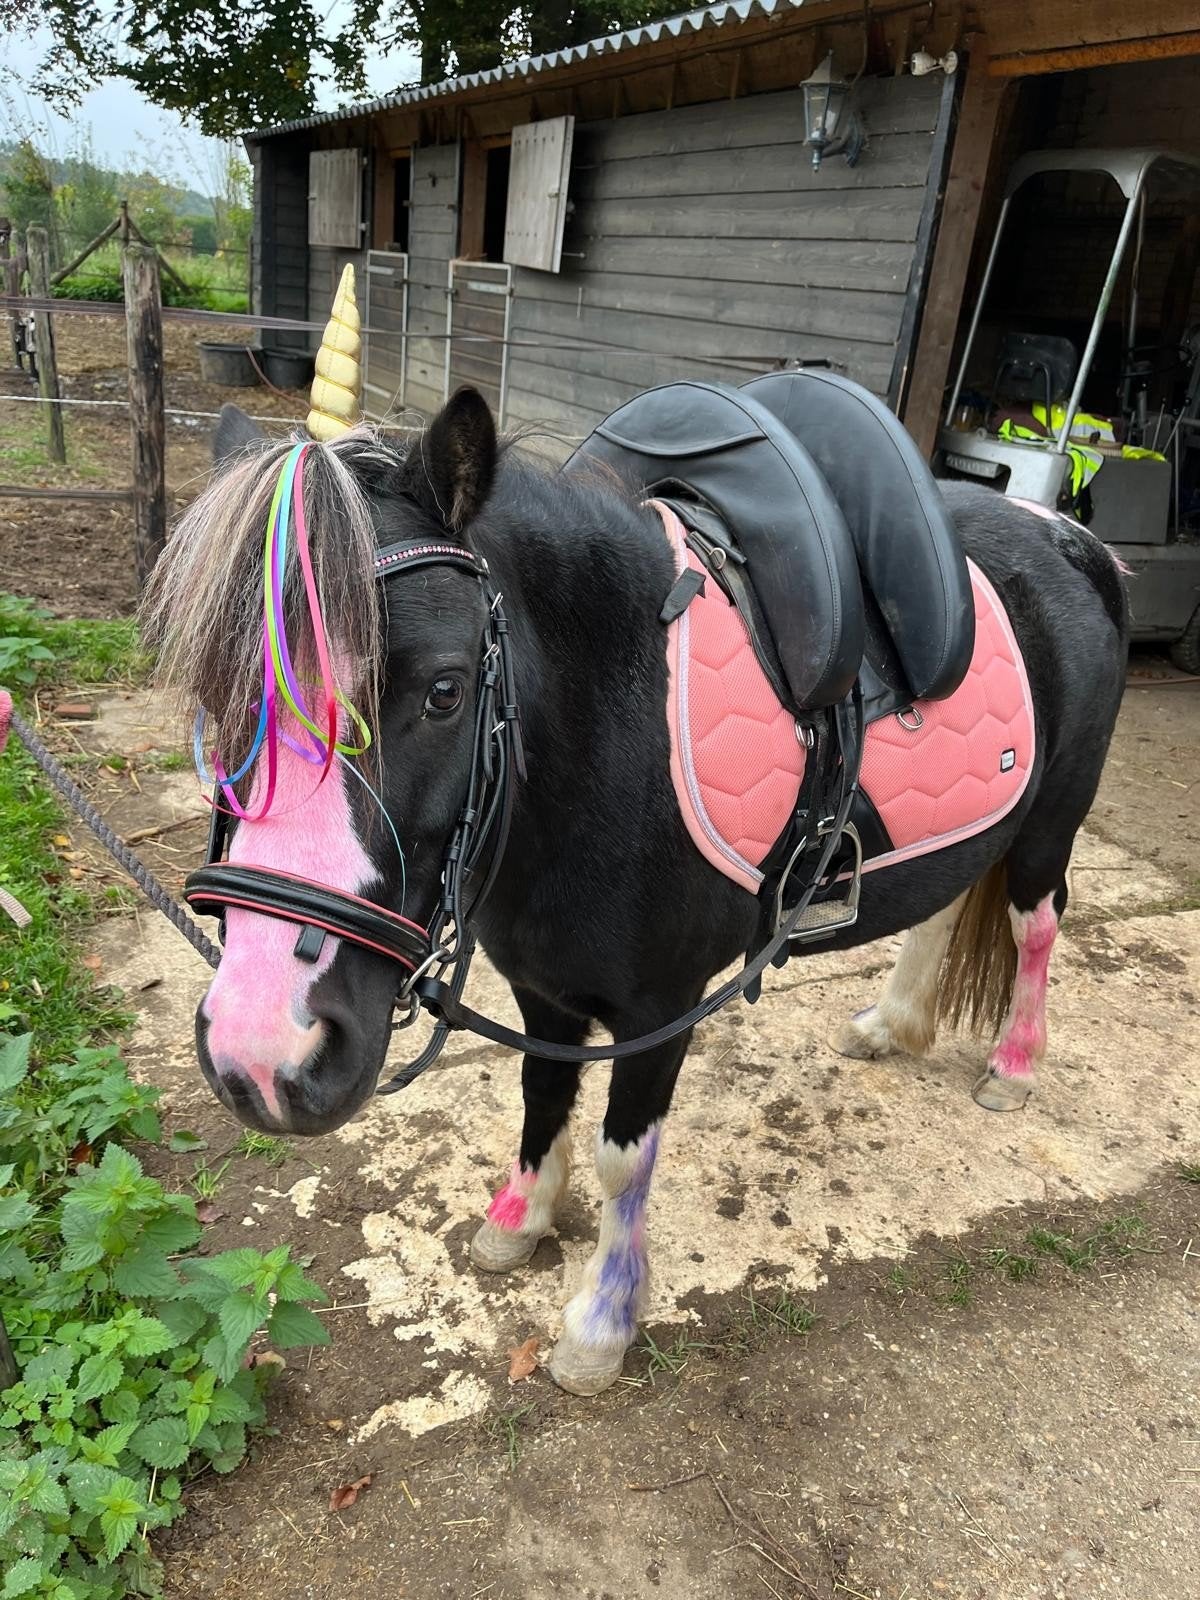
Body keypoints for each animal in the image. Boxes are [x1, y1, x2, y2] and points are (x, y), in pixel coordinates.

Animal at [143, 276, 1129, 1397]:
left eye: (442, 691)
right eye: (217, 696)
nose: (263, 1055)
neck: (608, 730)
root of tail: (1067, 540)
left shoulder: (663, 1008)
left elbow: (623, 1156)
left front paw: (601, 1324)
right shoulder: (542, 986)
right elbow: (540, 1093)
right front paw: (518, 1220)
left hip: (1050, 823)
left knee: (1037, 921)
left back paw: (1013, 1066)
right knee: (948, 901)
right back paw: (894, 1022)